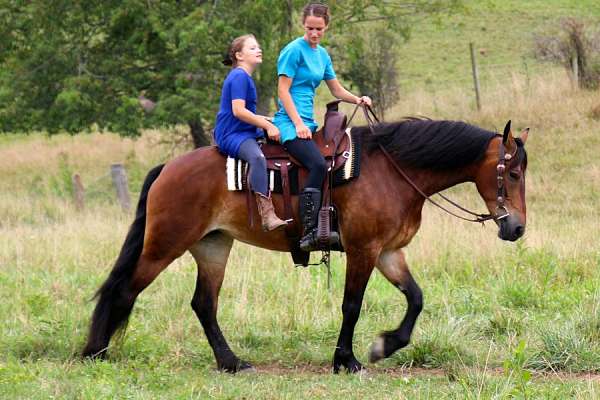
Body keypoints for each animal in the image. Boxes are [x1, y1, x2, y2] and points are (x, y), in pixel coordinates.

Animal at [82, 117, 528, 374]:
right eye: (513, 173)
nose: (517, 228)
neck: (395, 171)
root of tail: (167, 168)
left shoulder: (388, 252)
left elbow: (415, 298)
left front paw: (384, 346)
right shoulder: (364, 250)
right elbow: (352, 305)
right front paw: (346, 360)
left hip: (213, 248)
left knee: (203, 305)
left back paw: (231, 362)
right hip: (165, 245)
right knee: (125, 289)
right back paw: (96, 351)